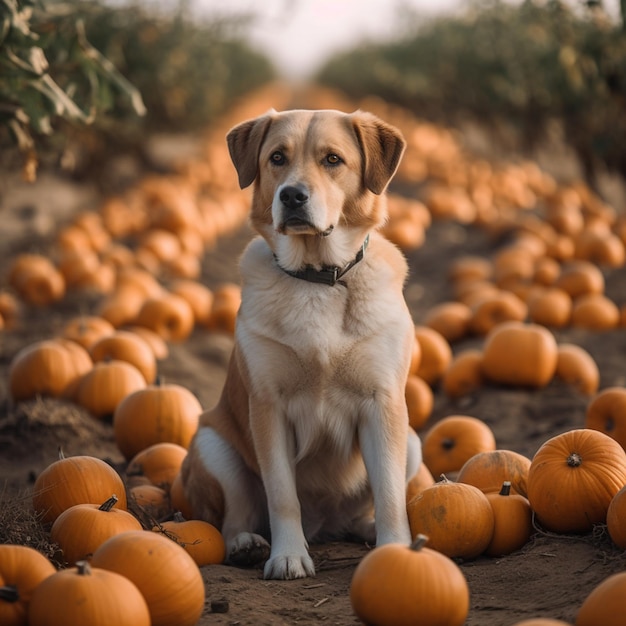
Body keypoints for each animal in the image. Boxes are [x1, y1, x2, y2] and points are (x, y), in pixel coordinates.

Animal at [183, 108, 422, 580]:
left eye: (332, 160)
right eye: (277, 157)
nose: (292, 196)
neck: (317, 277)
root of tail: (324, 525)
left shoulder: (383, 403)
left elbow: (389, 495)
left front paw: (394, 552)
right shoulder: (268, 408)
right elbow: (282, 495)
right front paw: (288, 556)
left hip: (413, 443)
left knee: (367, 509)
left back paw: (368, 531)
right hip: (212, 445)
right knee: (233, 517)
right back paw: (247, 545)